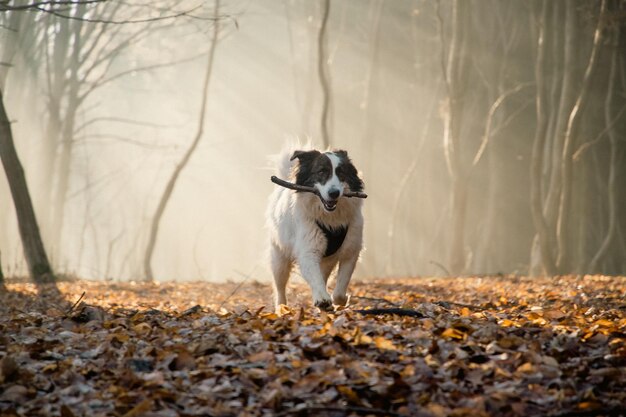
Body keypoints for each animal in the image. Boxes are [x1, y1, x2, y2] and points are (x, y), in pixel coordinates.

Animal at [266, 148, 364, 310]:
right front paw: (322, 298)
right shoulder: (308, 249)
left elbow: (341, 286)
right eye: (321, 171)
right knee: (279, 284)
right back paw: (281, 308)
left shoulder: (351, 250)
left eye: (341, 173)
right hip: (279, 257)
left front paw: (339, 300)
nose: (334, 193)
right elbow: (315, 277)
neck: (329, 218)